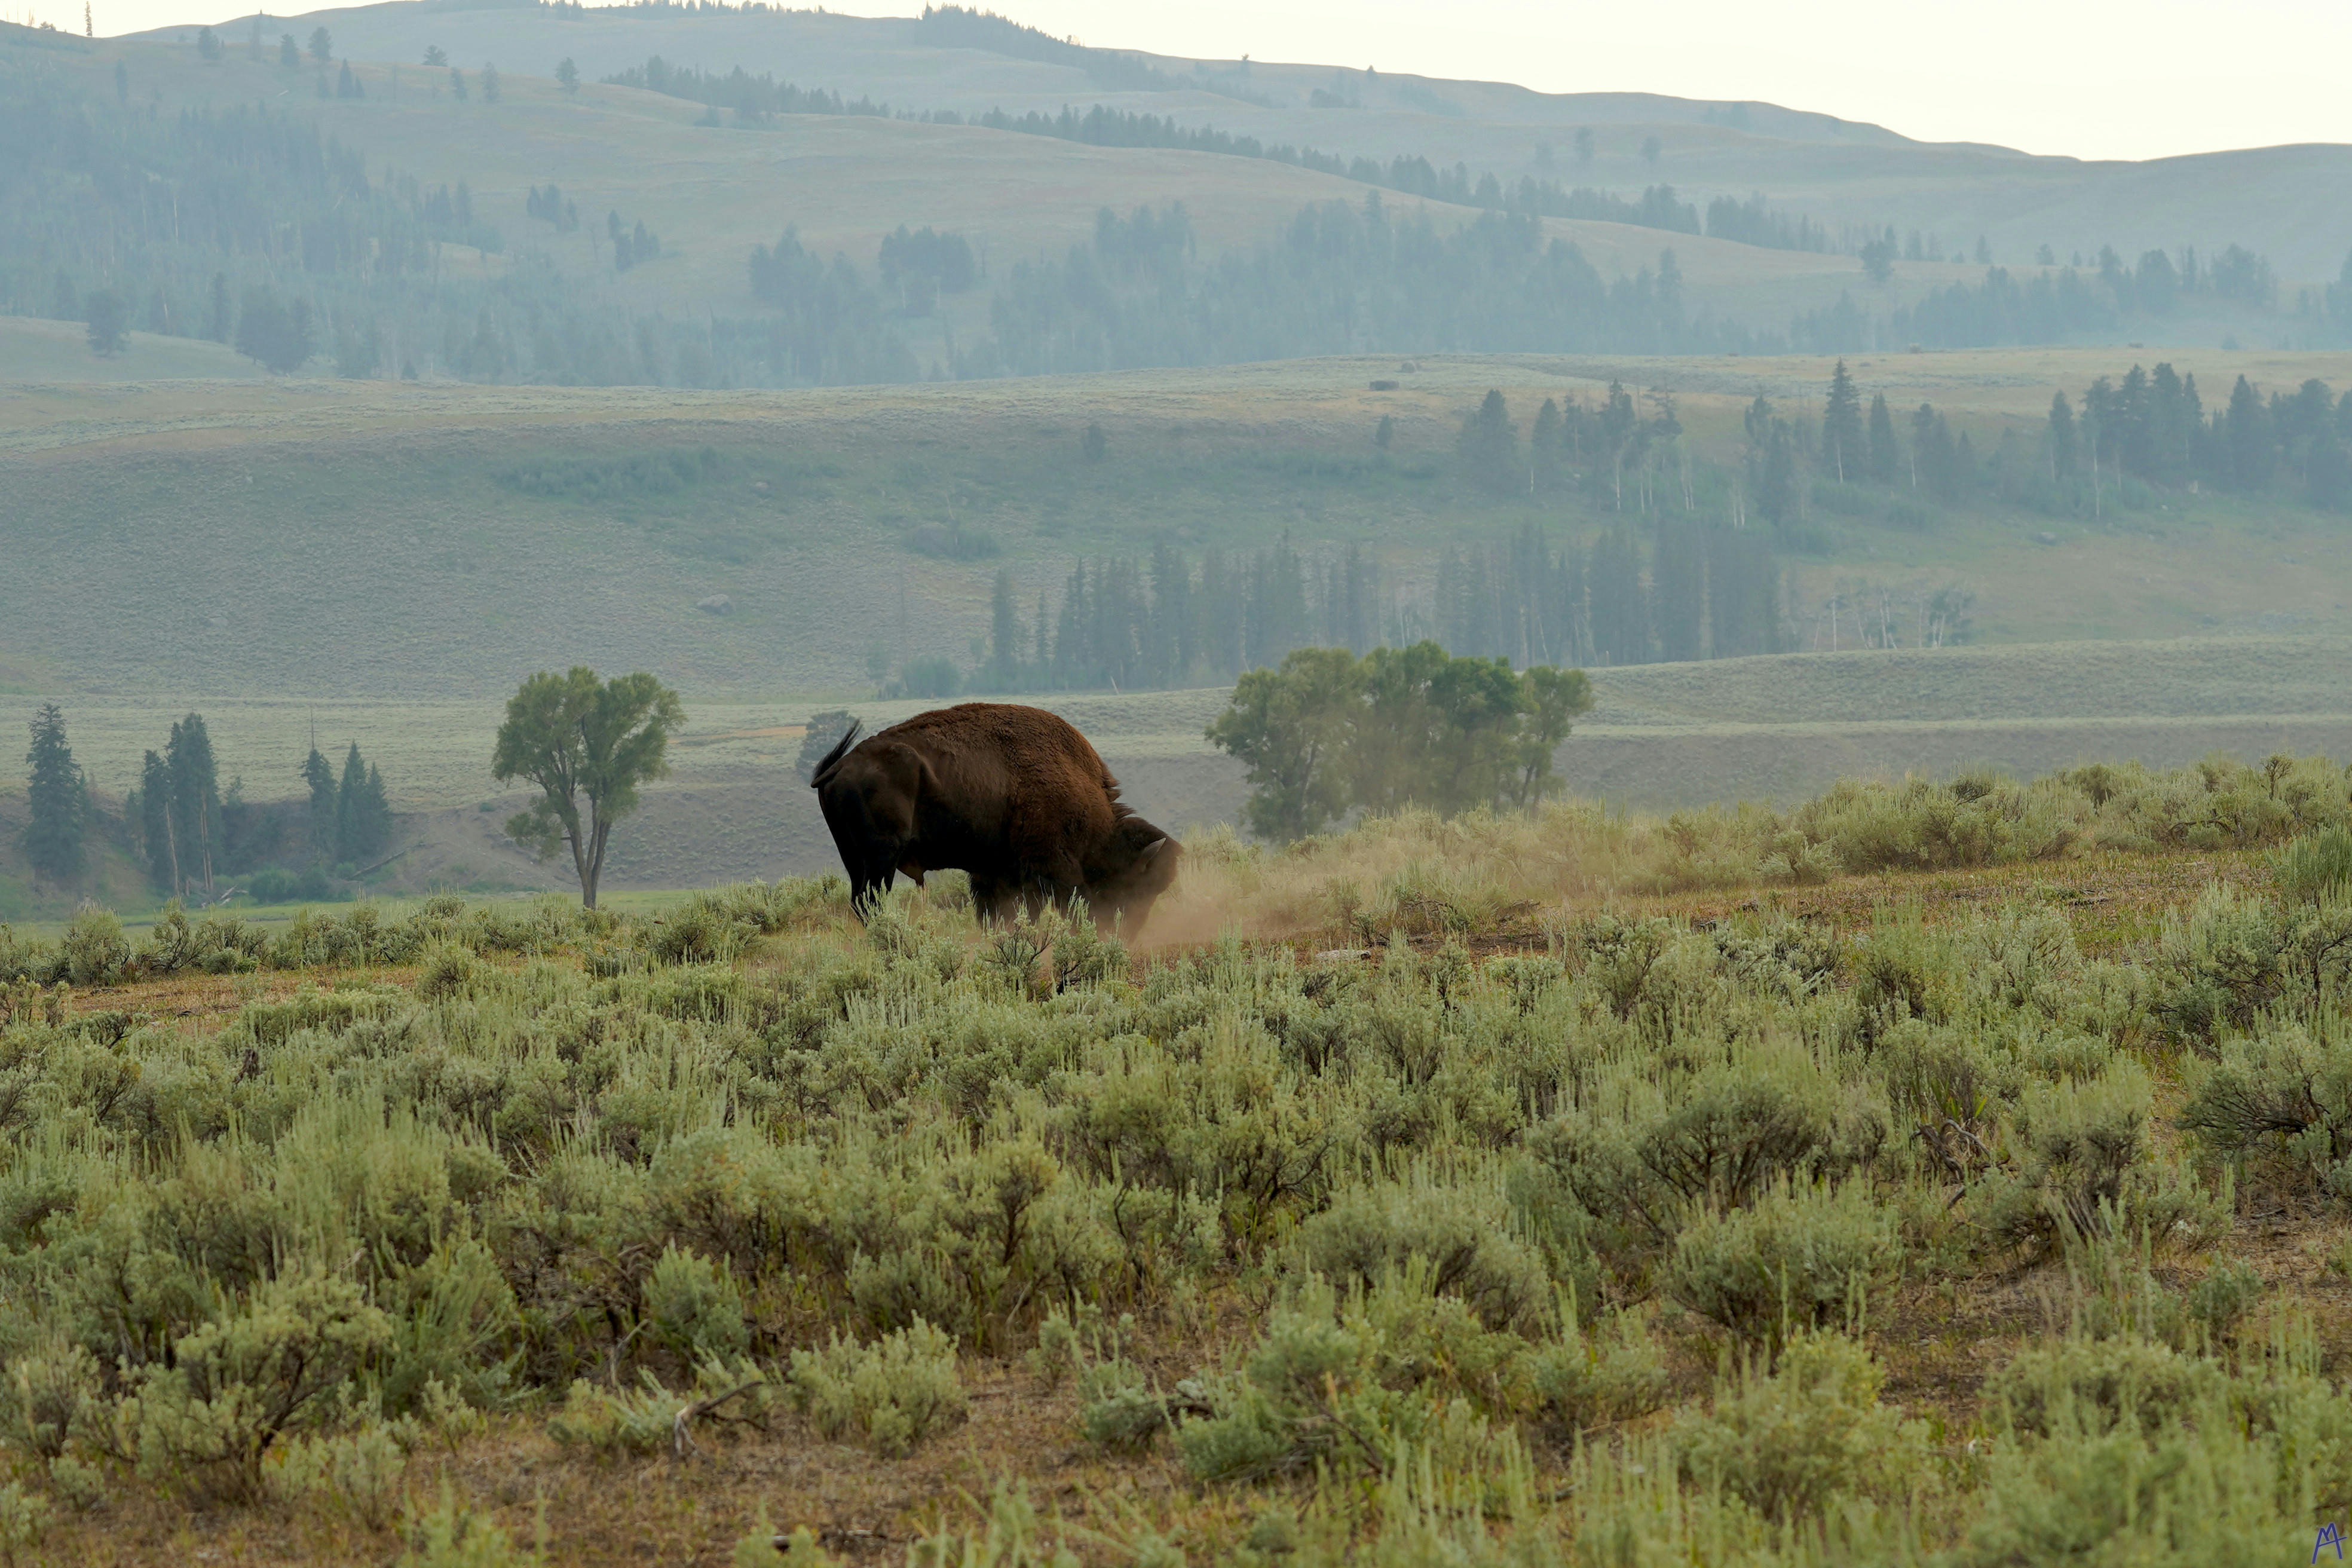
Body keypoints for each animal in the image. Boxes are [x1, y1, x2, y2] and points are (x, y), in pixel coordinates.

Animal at [810, 702, 1181, 933]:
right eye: (1136, 886)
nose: (1128, 931)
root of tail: (838, 767)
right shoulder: (1050, 868)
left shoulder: (997, 872)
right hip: (881, 860)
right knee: (871, 904)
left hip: (856, 861)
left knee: (861, 903)